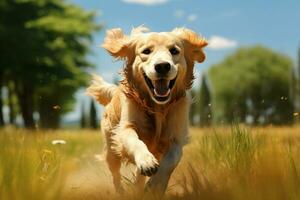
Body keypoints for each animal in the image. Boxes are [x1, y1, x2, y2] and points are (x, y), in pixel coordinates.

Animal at [86, 25, 206, 195]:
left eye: (174, 51)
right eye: (146, 51)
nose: (162, 66)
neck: (158, 107)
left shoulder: (176, 138)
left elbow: (170, 161)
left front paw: (155, 184)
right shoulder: (126, 128)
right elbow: (135, 141)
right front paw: (147, 161)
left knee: (137, 176)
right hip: (111, 150)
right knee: (115, 174)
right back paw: (121, 192)